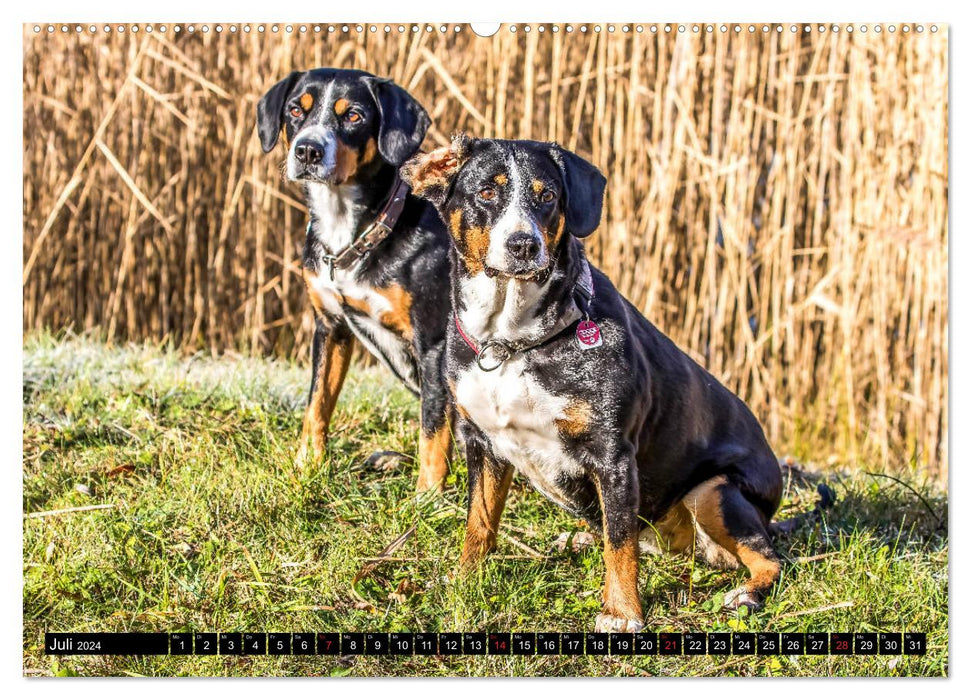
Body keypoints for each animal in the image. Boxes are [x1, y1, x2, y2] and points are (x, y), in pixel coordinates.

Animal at [402, 137, 788, 636]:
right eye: (487, 192)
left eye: (547, 196)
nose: (523, 244)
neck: (512, 341)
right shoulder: (481, 441)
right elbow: (479, 520)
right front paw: (467, 578)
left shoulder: (613, 455)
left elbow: (619, 544)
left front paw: (622, 612)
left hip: (714, 491)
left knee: (770, 559)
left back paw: (747, 594)